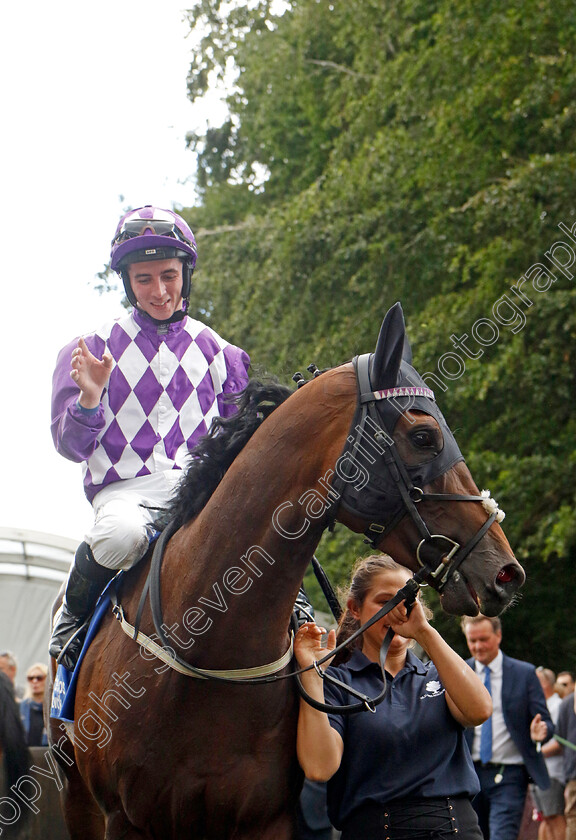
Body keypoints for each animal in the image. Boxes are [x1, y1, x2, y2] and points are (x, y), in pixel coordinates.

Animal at [50, 304, 528, 840]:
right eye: (425, 436)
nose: (506, 572)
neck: (207, 653)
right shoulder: (124, 817)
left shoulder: (265, 818)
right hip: (76, 796)